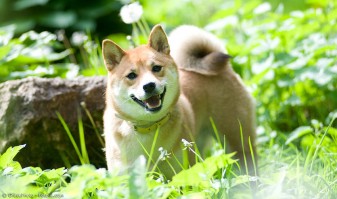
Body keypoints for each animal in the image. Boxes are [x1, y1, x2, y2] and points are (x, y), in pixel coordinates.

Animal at [101, 24, 256, 178]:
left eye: (156, 68)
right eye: (131, 75)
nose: (149, 85)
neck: (148, 127)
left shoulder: (182, 173)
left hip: (238, 142)